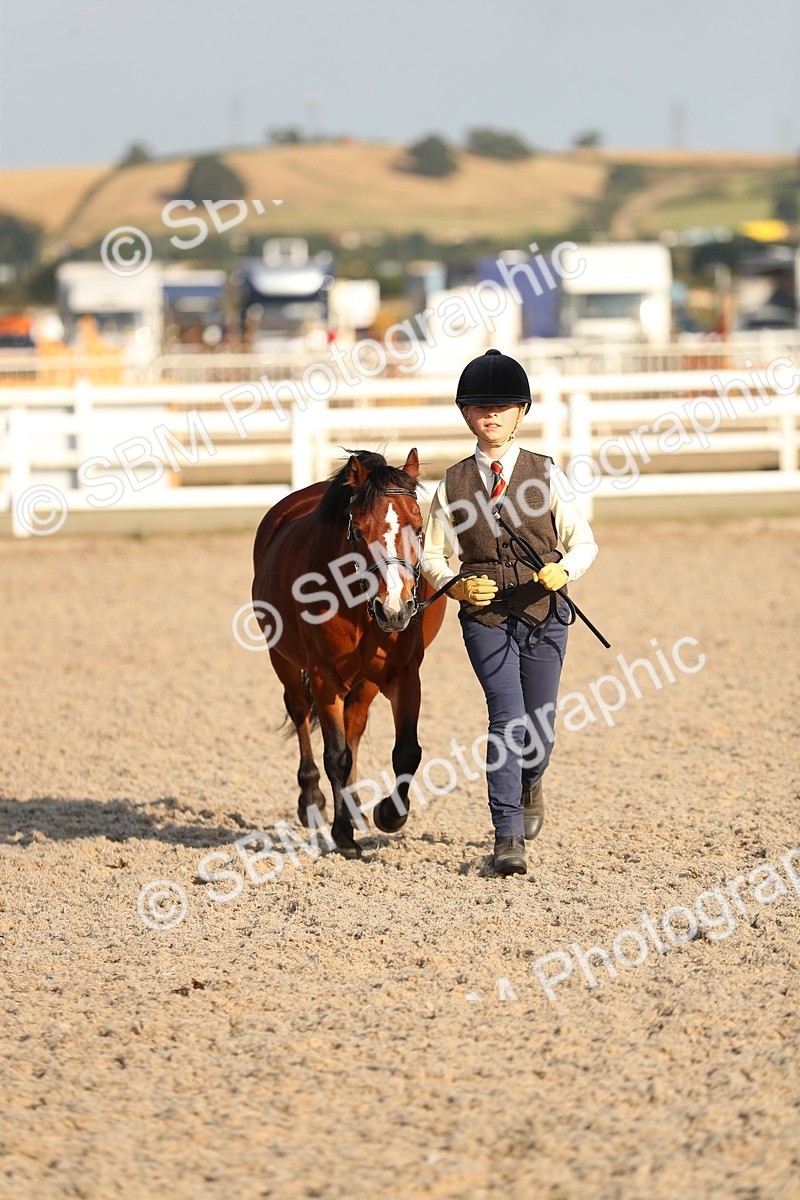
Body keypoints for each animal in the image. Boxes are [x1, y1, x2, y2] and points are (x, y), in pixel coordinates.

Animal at [252, 448, 447, 858]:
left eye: (419, 528)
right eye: (357, 531)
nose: (395, 609)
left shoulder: (405, 675)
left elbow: (406, 751)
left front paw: (388, 814)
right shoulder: (324, 678)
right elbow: (336, 755)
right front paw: (342, 834)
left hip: (365, 682)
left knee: (355, 725)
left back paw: (356, 807)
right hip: (283, 661)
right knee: (299, 714)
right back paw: (312, 799)